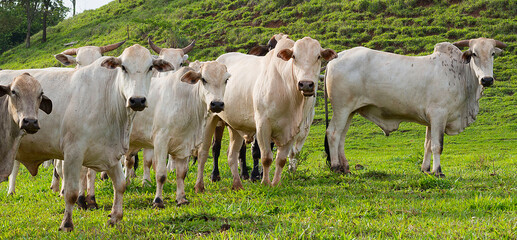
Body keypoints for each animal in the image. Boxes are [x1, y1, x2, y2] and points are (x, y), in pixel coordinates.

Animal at [0, 43, 173, 231]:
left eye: (150, 68)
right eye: (123, 67)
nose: (137, 100)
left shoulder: (111, 153)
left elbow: (120, 185)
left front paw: (115, 217)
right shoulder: (73, 153)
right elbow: (71, 192)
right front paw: (67, 223)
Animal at [192, 34, 334, 191]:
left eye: (318, 56)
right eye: (294, 56)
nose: (306, 84)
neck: (287, 90)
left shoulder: (292, 130)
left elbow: (281, 160)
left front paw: (276, 183)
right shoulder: (262, 125)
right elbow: (265, 157)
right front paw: (264, 182)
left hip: (235, 125)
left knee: (231, 154)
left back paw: (237, 184)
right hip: (211, 119)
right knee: (205, 152)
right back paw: (202, 184)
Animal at [324, 37, 506, 176]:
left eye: (492, 53)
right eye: (474, 53)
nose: (487, 80)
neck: (460, 74)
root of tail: (337, 57)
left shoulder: (431, 121)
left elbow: (427, 145)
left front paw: (426, 169)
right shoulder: (439, 115)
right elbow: (437, 146)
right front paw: (438, 171)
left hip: (350, 111)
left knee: (342, 137)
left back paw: (345, 167)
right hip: (342, 109)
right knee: (333, 133)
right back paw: (336, 167)